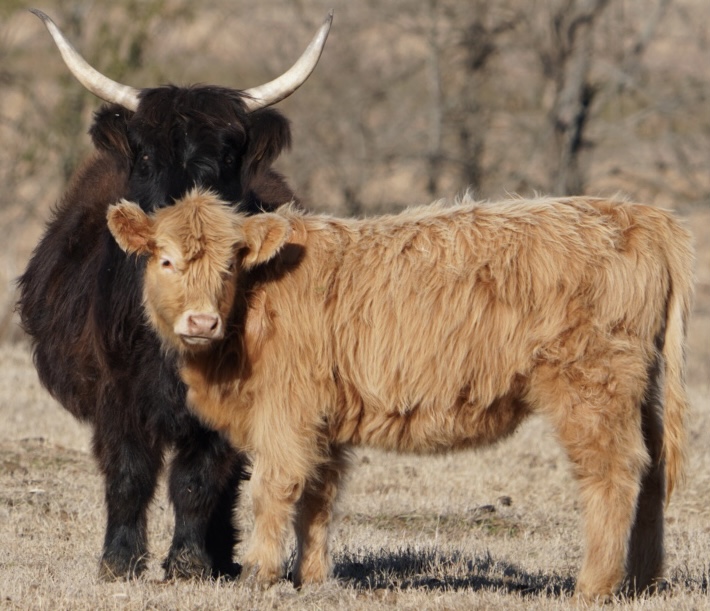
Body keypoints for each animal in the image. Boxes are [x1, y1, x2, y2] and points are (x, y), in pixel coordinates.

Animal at [17, 10, 332, 581]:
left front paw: (189, 563)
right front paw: (119, 561)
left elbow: (198, 479)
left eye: (227, 153)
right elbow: (129, 473)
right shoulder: (117, 393)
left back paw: (222, 557)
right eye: (144, 153)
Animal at [107, 188, 694, 601]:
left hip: (592, 386)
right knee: (653, 472)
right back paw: (641, 581)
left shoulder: (289, 411)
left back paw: (593, 586)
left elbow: (275, 488)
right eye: (165, 260)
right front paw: (310, 578)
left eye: (229, 265)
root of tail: (638, 214)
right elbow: (318, 498)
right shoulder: (325, 420)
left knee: (616, 472)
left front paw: (258, 572)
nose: (200, 321)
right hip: (640, 390)